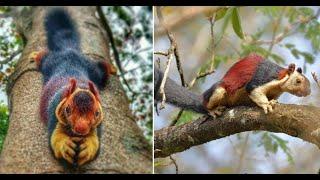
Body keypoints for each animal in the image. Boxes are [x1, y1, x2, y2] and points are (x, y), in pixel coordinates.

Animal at [29, 8, 117, 166]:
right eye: (68, 109)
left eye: (96, 113)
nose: (81, 128)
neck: (81, 88)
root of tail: (70, 51)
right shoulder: (55, 110)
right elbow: (55, 137)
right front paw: (65, 146)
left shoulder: (99, 122)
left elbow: (95, 140)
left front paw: (87, 148)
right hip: (51, 62)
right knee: (44, 57)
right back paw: (36, 54)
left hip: (93, 70)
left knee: (102, 68)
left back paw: (111, 67)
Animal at [154, 53, 310, 116]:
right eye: (298, 81)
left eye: (308, 82)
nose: (308, 92)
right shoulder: (264, 77)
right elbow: (252, 89)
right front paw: (266, 104)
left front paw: (273, 102)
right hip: (218, 92)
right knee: (206, 105)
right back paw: (212, 110)